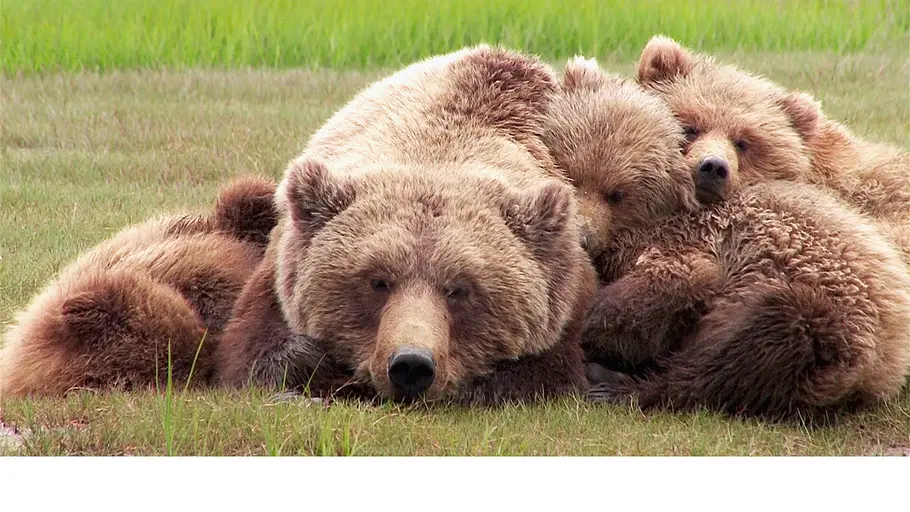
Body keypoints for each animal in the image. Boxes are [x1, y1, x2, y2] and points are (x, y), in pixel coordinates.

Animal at [215, 45, 596, 406]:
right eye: (377, 281)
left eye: (460, 289)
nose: (411, 364)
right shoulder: (279, 270)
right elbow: (258, 349)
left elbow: (544, 369)